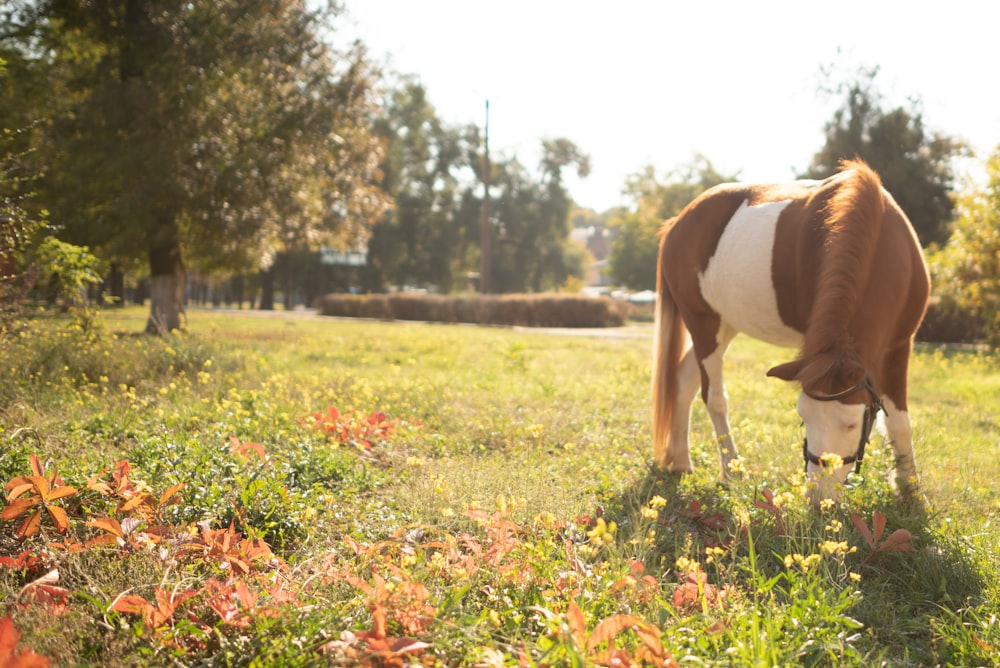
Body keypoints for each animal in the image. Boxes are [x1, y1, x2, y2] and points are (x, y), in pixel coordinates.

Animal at [656, 160, 928, 500]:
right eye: (804, 418)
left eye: (851, 425)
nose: (818, 498)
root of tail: (677, 223)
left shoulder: (899, 346)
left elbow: (900, 421)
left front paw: (911, 490)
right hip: (703, 323)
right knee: (714, 396)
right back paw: (732, 471)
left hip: (725, 325)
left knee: (683, 381)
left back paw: (680, 460)